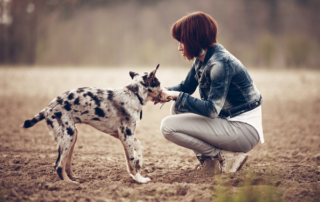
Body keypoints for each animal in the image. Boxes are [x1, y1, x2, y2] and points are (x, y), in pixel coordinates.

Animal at [21, 64, 162, 183]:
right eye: (159, 83)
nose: (165, 92)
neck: (134, 94)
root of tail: (48, 108)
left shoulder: (119, 134)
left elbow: (138, 145)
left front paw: (140, 162)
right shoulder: (126, 135)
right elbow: (131, 162)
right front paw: (139, 179)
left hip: (72, 136)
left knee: (66, 163)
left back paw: (74, 178)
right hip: (68, 136)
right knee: (58, 165)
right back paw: (69, 183)